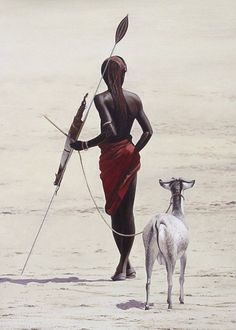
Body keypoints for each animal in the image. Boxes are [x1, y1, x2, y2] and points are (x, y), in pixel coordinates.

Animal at [143, 178, 195, 310]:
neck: (178, 213)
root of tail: (157, 221)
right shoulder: (183, 255)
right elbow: (181, 277)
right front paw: (181, 299)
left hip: (149, 255)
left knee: (148, 281)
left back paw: (147, 305)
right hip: (172, 256)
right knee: (170, 281)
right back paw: (170, 304)